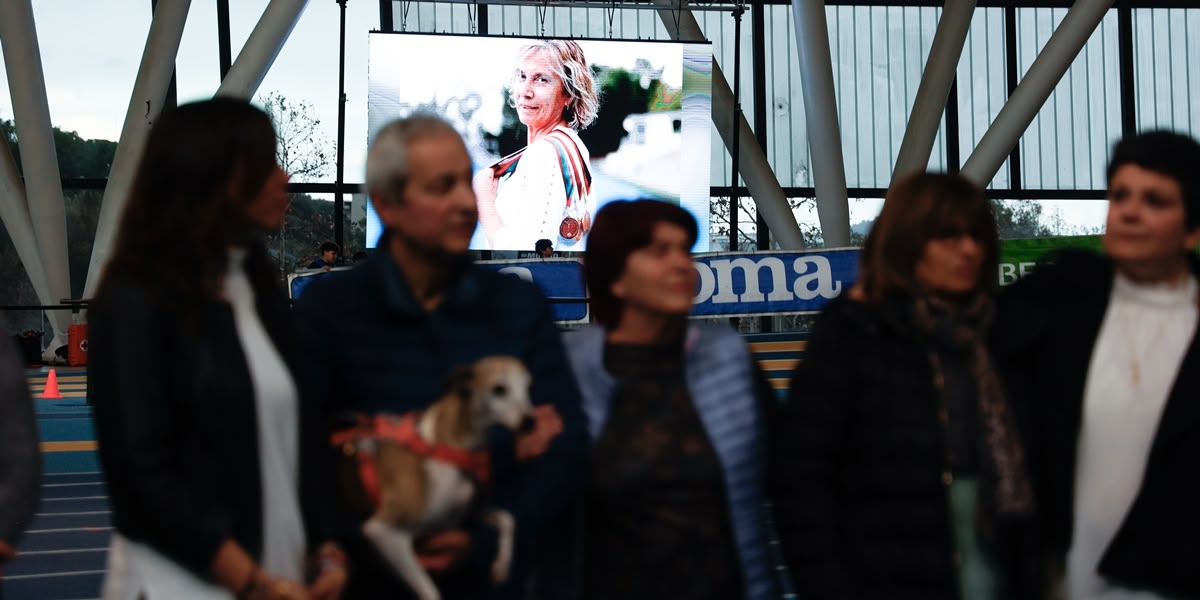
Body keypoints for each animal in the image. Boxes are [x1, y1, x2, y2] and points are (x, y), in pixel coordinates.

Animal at [333, 355, 530, 600]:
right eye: (499, 389)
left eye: (529, 387)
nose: (531, 421)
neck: (448, 448)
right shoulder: (384, 532)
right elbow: (431, 592)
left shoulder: (465, 517)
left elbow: (507, 519)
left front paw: (501, 567)